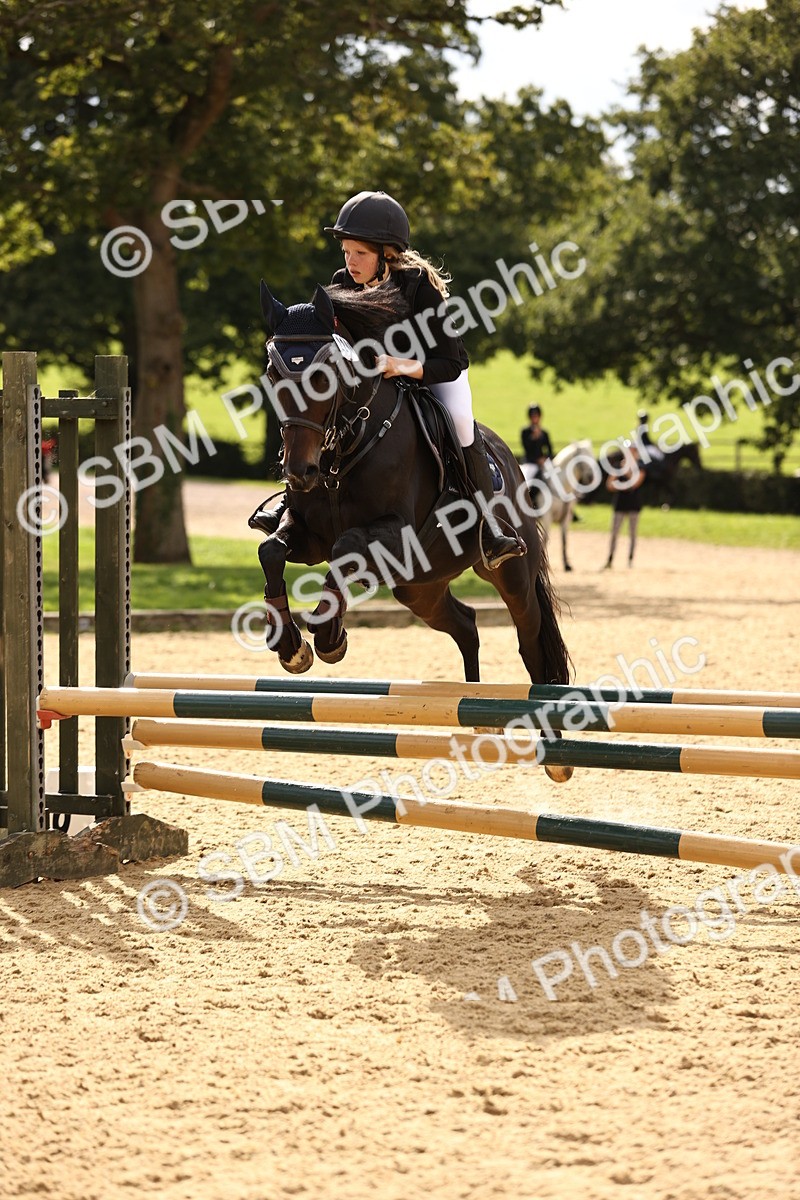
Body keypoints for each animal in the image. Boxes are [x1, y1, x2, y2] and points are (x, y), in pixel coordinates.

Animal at [253, 280, 573, 778]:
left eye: (326, 374)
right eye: (272, 370)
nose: (299, 472)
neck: (347, 443)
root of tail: (513, 464)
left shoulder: (394, 534)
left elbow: (344, 549)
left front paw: (328, 637)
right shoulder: (307, 535)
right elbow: (272, 549)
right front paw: (292, 647)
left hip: (511, 575)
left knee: (530, 640)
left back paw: (553, 751)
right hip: (419, 587)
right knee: (466, 624)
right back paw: (477, 714)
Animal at [521, 440, 596, 572]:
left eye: (592, 456)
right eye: (582, 458)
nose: (591, 478)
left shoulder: (566, 518)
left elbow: (564, 540)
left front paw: (567, 565)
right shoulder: (547, 517)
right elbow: (545, 540)